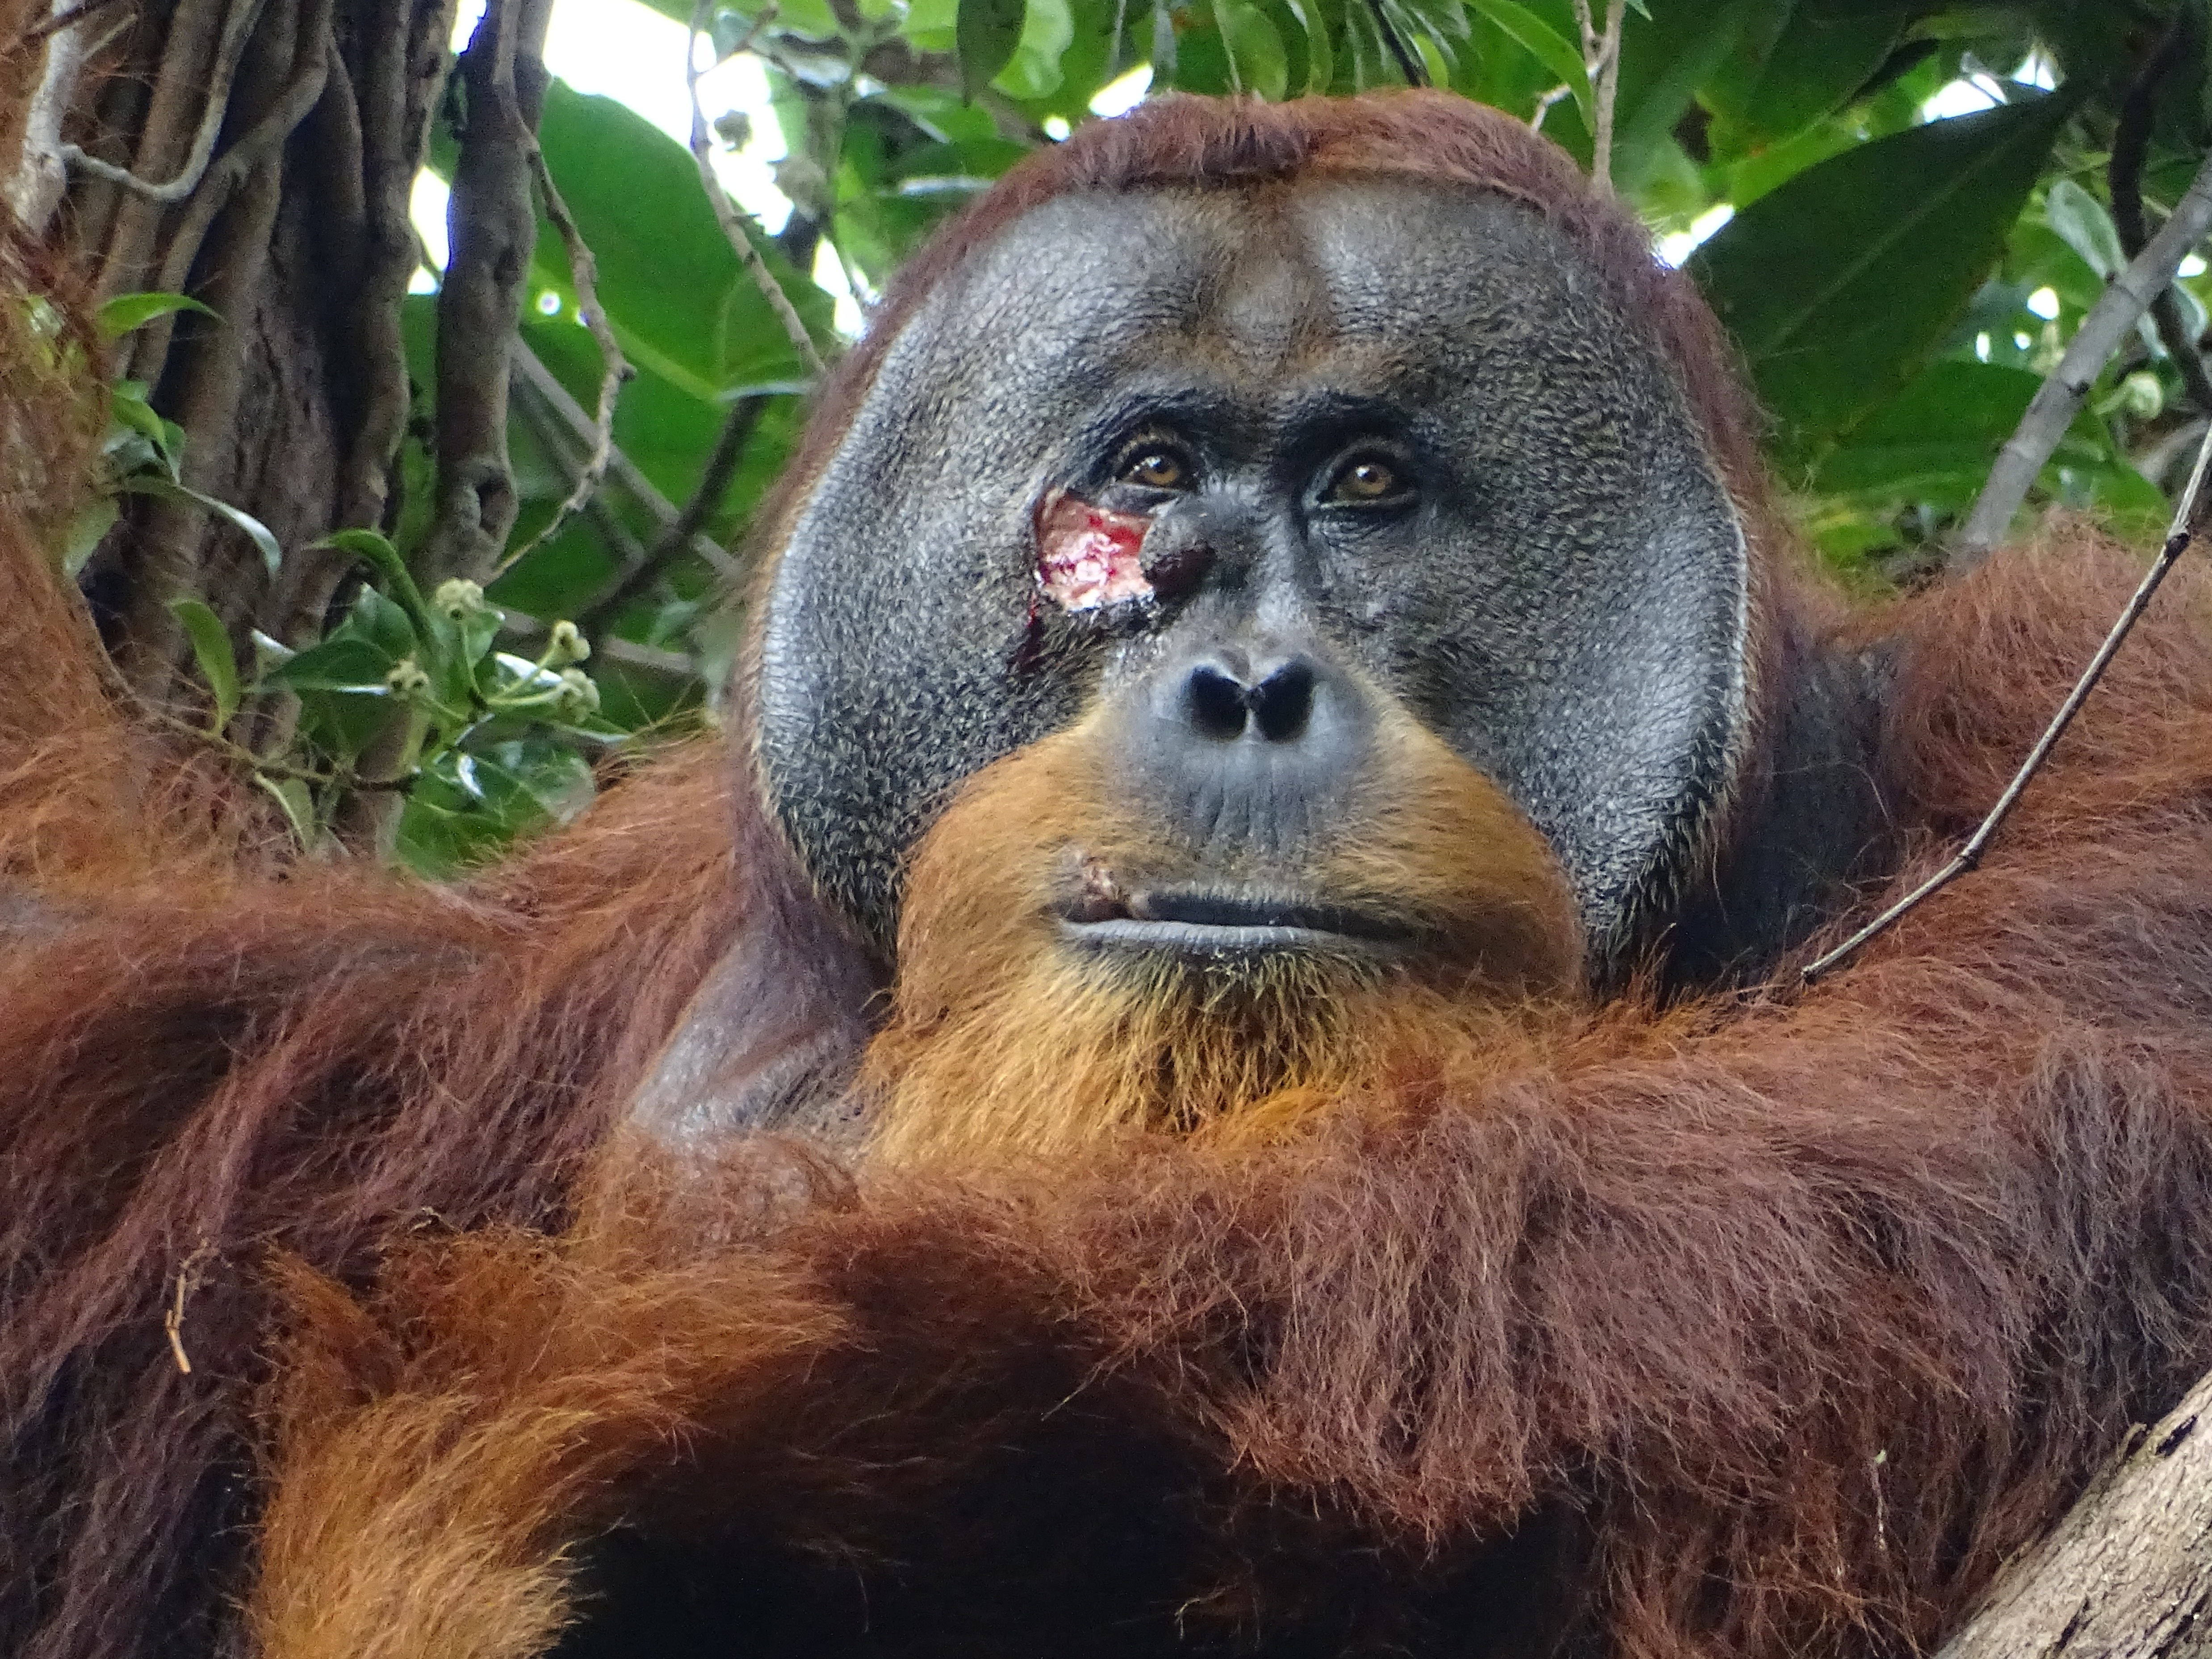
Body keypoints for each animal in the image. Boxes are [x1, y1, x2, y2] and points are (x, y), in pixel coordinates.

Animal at [8, 90, 2212, 1659]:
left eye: (1365, 486)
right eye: (1148, 475)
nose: (1243, 682)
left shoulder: (2066, 712)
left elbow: (1956, 1131)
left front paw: (630, 1428)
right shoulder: (453, 1018)